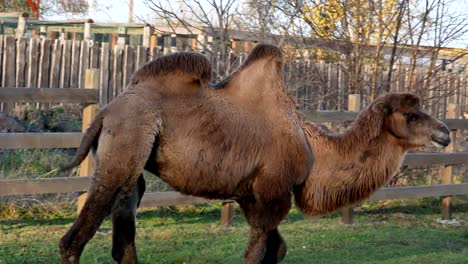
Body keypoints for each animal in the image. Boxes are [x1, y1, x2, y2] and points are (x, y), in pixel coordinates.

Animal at [58, 42, 450, 262]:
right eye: (412, 115)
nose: (445, 132)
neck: (312, 146)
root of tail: (108, 109)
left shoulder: (252, 195)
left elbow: (276, 250)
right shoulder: (274, 191)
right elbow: (257, 253)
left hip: (134, 160)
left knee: (124, 229)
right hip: (126, 142)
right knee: (74, 239)